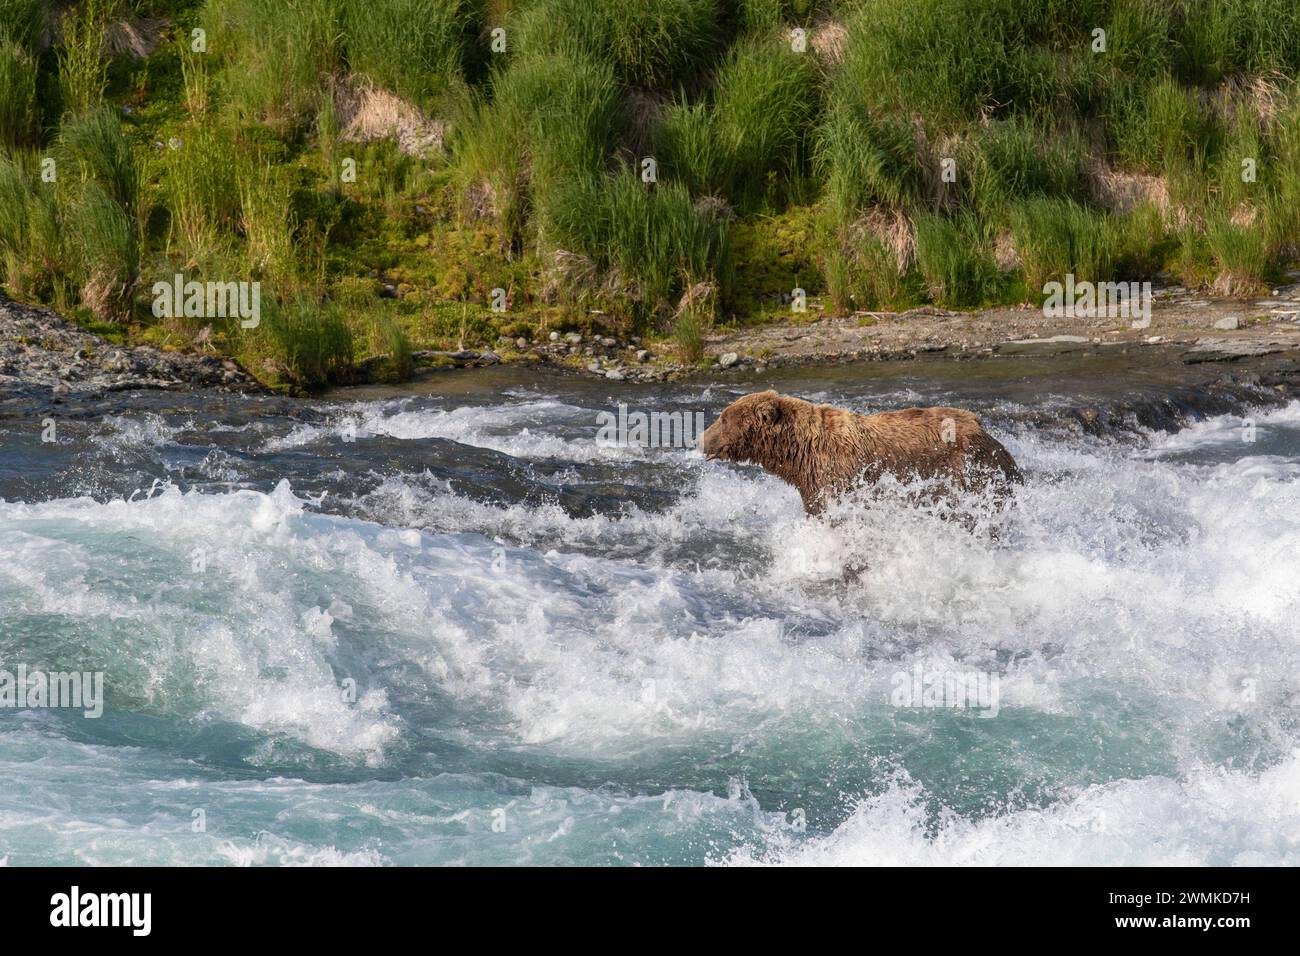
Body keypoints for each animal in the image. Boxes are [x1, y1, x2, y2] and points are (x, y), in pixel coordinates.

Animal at [698, 390, 1022, 516]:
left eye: (724, 419)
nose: (699, 439)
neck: (800, 454)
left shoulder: (839, 477)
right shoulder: (812, 484)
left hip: (969, 472)